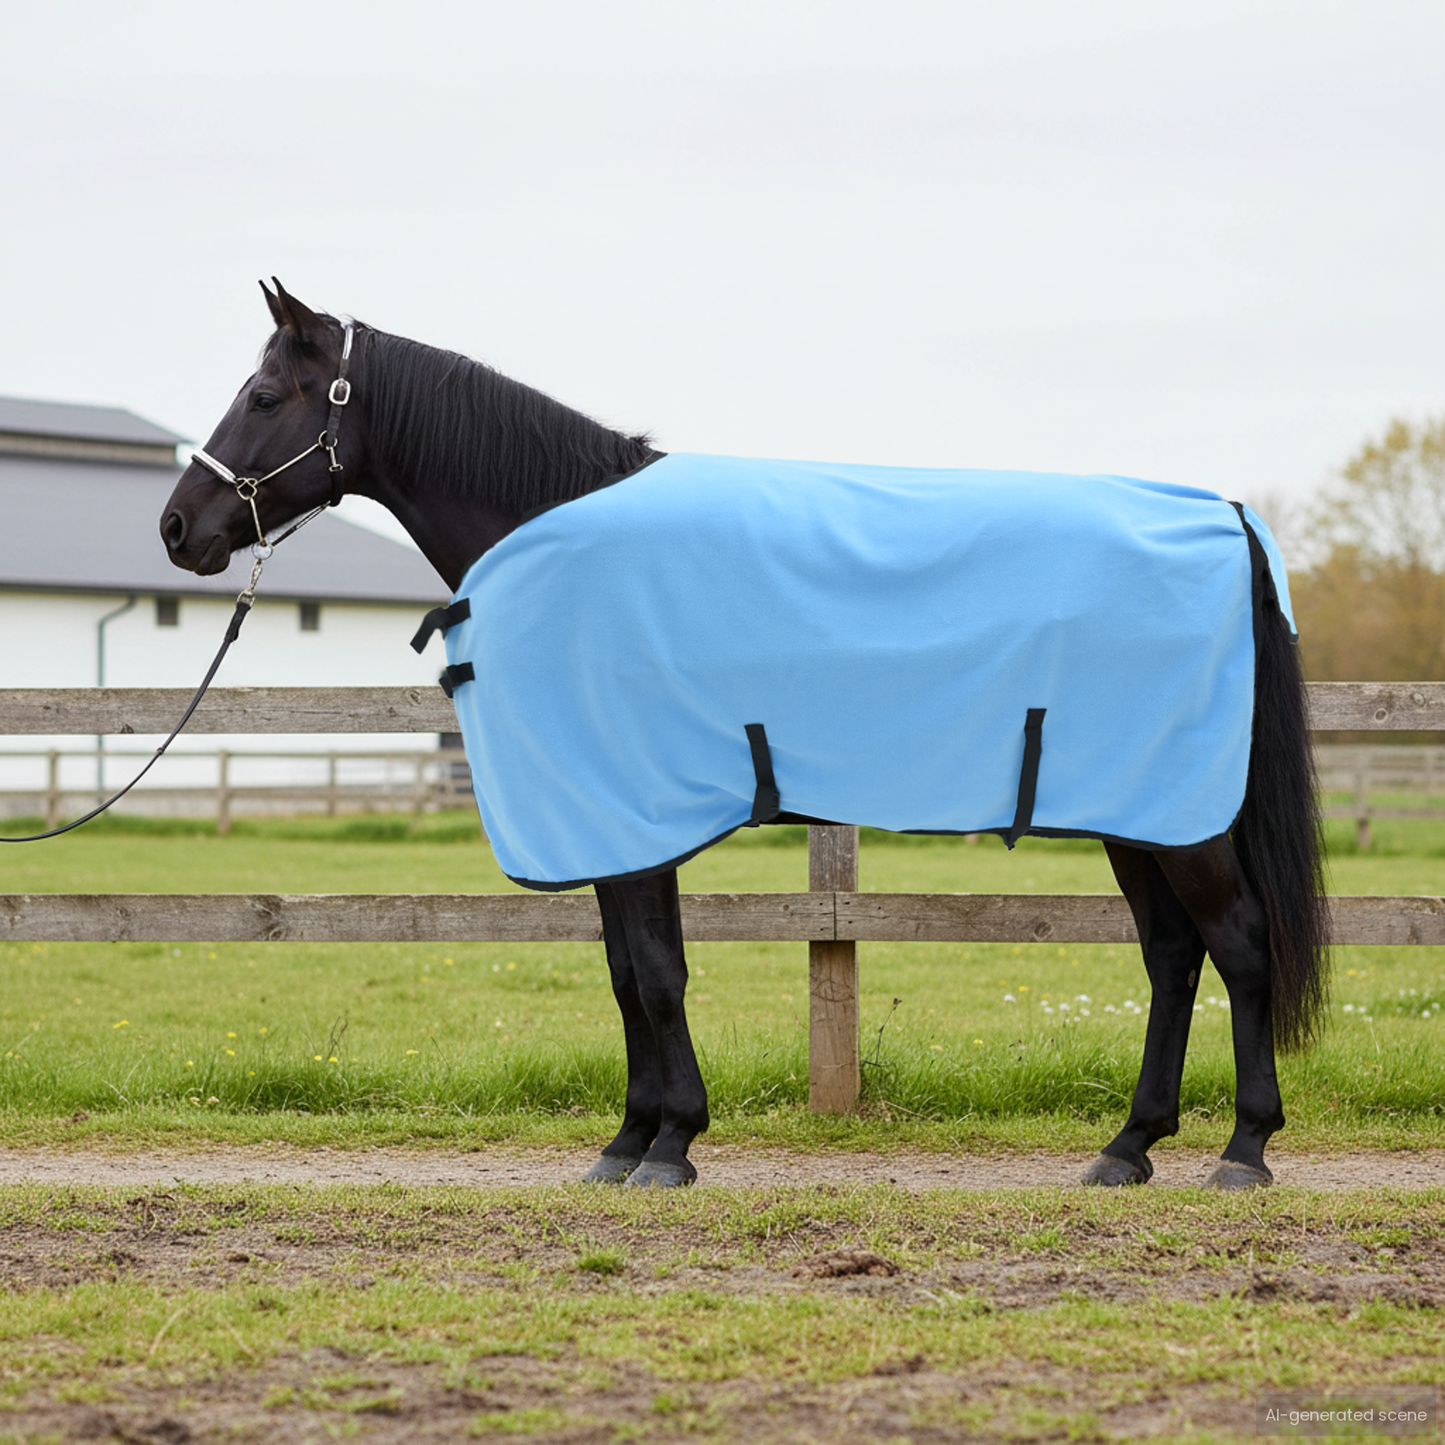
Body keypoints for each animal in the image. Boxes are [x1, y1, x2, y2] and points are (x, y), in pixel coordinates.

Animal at [159, 280, 1329, 1190]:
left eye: (263, 396)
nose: (178, 528)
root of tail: (1221, 517)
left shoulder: (631, 813)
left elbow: (655, 973)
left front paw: (669, 1143)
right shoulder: (614, 822)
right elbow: (627, 972)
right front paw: (629, 1139)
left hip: (1181, 819)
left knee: (1238, 945)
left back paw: (1243, 1149)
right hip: (1135, 809)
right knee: (1172, 955)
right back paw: (1127, 1147)